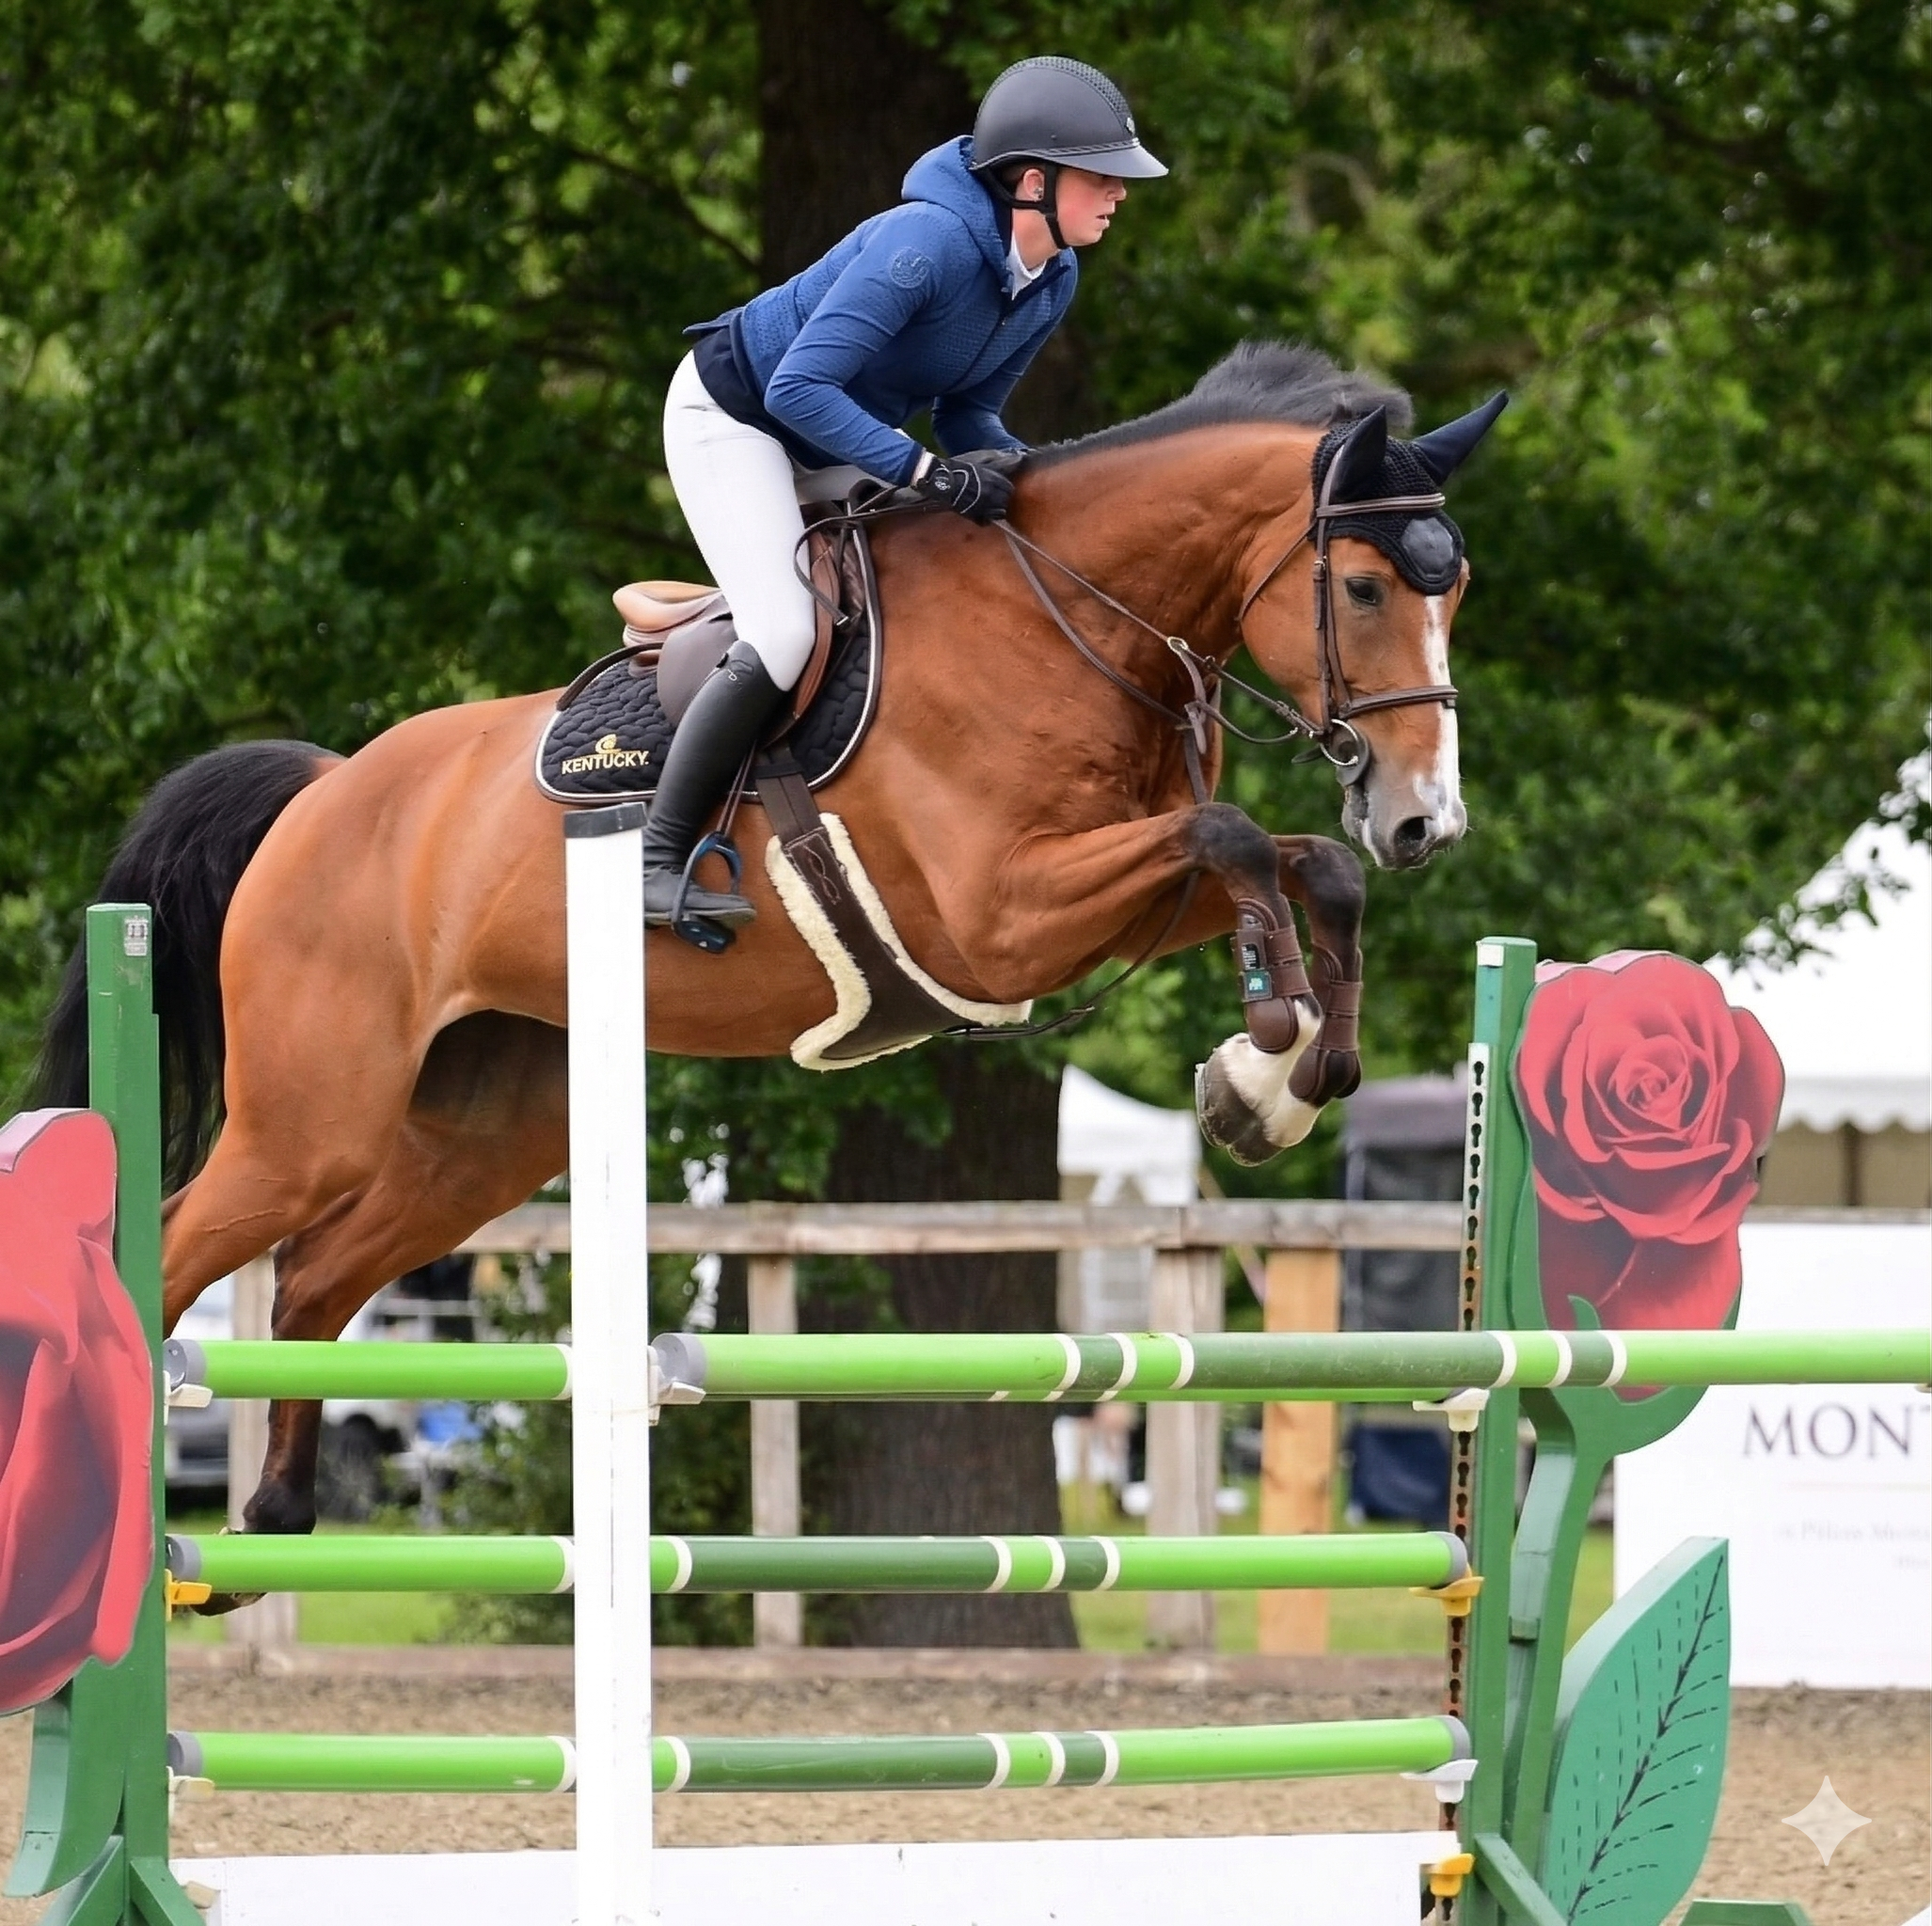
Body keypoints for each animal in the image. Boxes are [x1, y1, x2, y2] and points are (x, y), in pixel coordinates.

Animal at [40, 341, 1501, 1552]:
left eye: (1457, 593)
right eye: (1361, 586)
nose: (1424, 819)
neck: (1067, 619)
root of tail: (324, 791)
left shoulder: (1101, 894)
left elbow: (1297, 865)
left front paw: (1270, 1085)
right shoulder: (1002, 917)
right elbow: (1235, 835)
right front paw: (1263, 1045)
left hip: (481, 1132)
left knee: (309, 1281)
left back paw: (274, 1518)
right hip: (310, 1119)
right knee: (181, 1252)